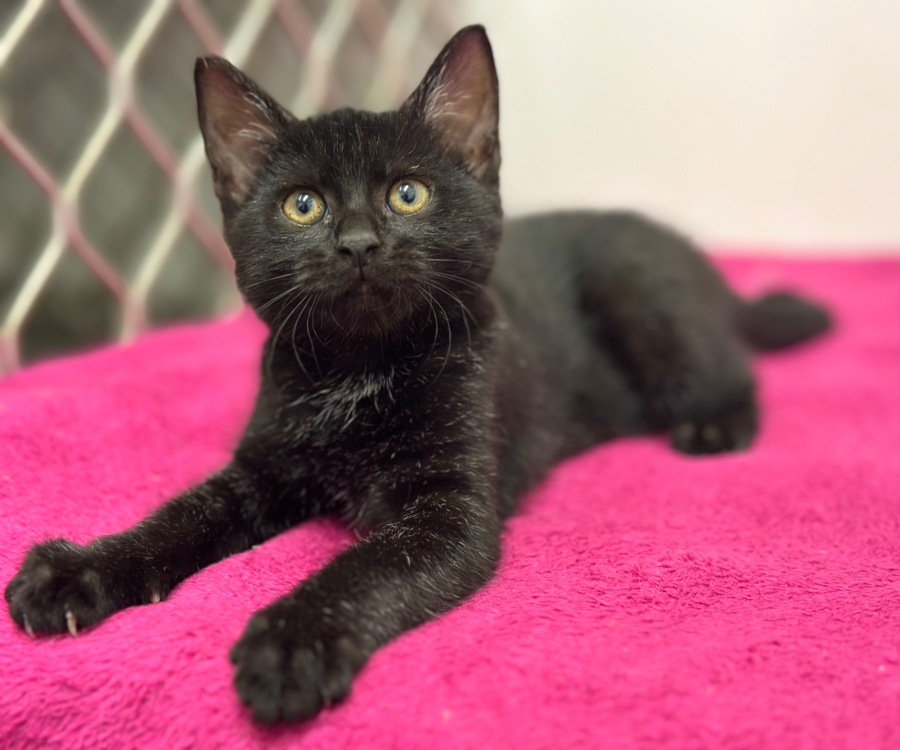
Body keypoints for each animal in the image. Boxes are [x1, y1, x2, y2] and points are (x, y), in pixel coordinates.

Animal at [5, 26, 830, 723]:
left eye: (409, 193)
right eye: (302, 206)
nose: (359, 243)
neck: (360, 370)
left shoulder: (450, 511)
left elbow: (366, 567)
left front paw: (292, 642)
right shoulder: (262, 468)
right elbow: (179, 516)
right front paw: (78, 571)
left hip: (642, 296)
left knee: (729, 367)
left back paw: (715, 425)